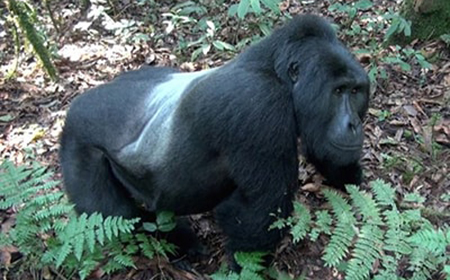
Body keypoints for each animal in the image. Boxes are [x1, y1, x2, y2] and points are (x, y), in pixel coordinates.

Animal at [59, 14, 370, 266]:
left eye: (356, 91)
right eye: (338, 91)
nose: (354, 124)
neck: (275, 71)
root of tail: (75, 105)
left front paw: (347, 174)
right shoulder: (259, 107)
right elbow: (261, 215)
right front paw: (244, 268)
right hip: (76, 141)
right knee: (116, 217)